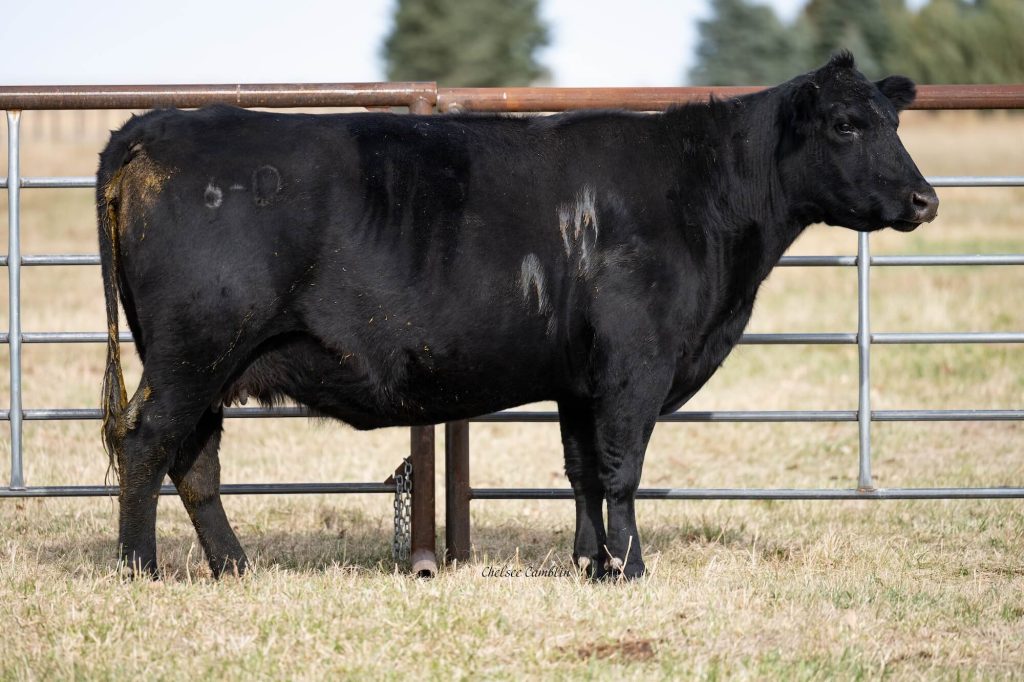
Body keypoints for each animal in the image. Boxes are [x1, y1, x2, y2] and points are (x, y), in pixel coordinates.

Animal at [97, 51, 937, 579]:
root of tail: (155, 124)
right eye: (846, 125)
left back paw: (234, 567)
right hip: (194, 352)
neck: (698, 191)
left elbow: (582, 471)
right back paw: (141, 568)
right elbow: (622, 468)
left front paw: (591, 563)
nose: (925, 199)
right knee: (147, 444)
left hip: (212, 364)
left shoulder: (580, 381)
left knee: (194, 461)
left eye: (893, 122)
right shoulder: (636, 364)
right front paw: (632, 567)